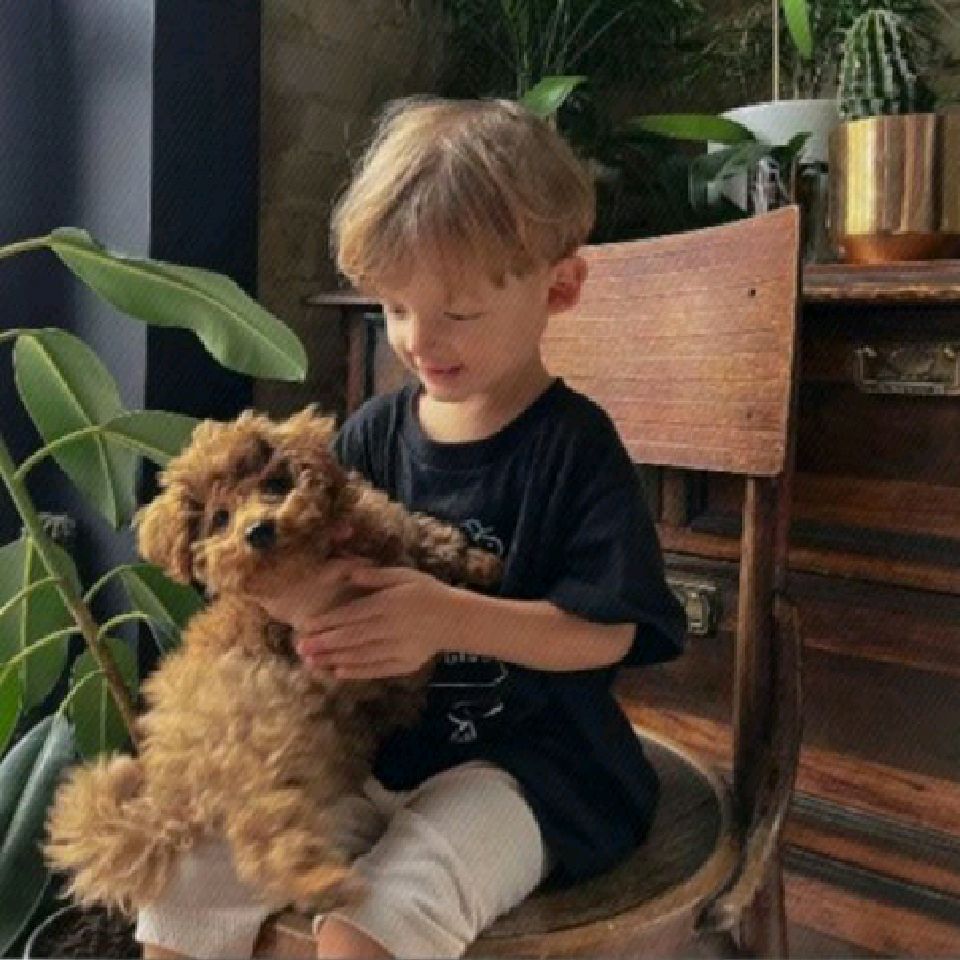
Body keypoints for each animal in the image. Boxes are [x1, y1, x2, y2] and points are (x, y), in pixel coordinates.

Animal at [45, 407, 501, 916]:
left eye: (275, 485)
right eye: (220, 519)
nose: (259, 530)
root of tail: (169, 786)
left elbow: (417, 532)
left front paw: (479, 563)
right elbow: (412, 535)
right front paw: (471, 561)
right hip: (259, 738)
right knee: (262, 835)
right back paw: (321, 884)